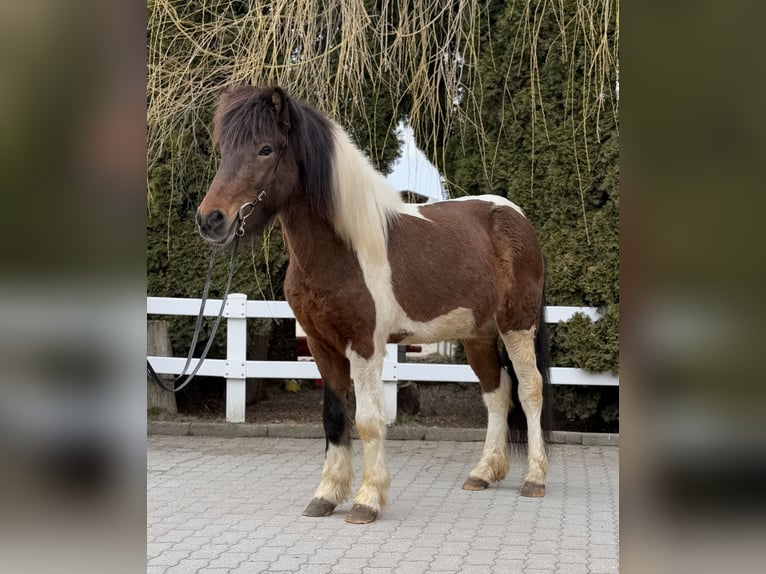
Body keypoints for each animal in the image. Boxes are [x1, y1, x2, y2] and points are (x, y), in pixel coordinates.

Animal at [196, 86, 552, 528]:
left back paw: (535, 478)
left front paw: (366, 500)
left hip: (517, 325)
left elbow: (367, 421)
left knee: (530, 389)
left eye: (265, 149)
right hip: (477, 334)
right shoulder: (321, 345)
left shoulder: (364, 345)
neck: (343, 248)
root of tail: (516, 218)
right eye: (223, 149)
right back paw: (483, 473)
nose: (211, 220)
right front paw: (326, 496)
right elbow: (334, 417)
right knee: (497, 392)